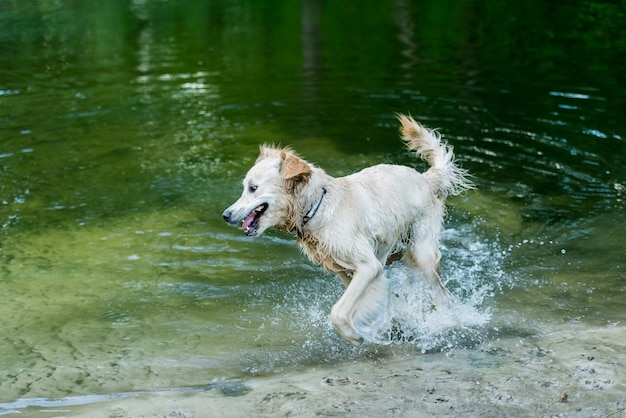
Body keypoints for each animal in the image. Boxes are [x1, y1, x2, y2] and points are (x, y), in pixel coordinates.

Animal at [222, 114, 470, 346]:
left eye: (252, 188)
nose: (226, 215)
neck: (317, 206)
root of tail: (426, 178)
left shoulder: (367, 266)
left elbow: (338, 311)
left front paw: (355, 335)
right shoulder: (345, 270)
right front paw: (380, 325)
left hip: (422, 253)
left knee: (441, 294)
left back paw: (446, 324)